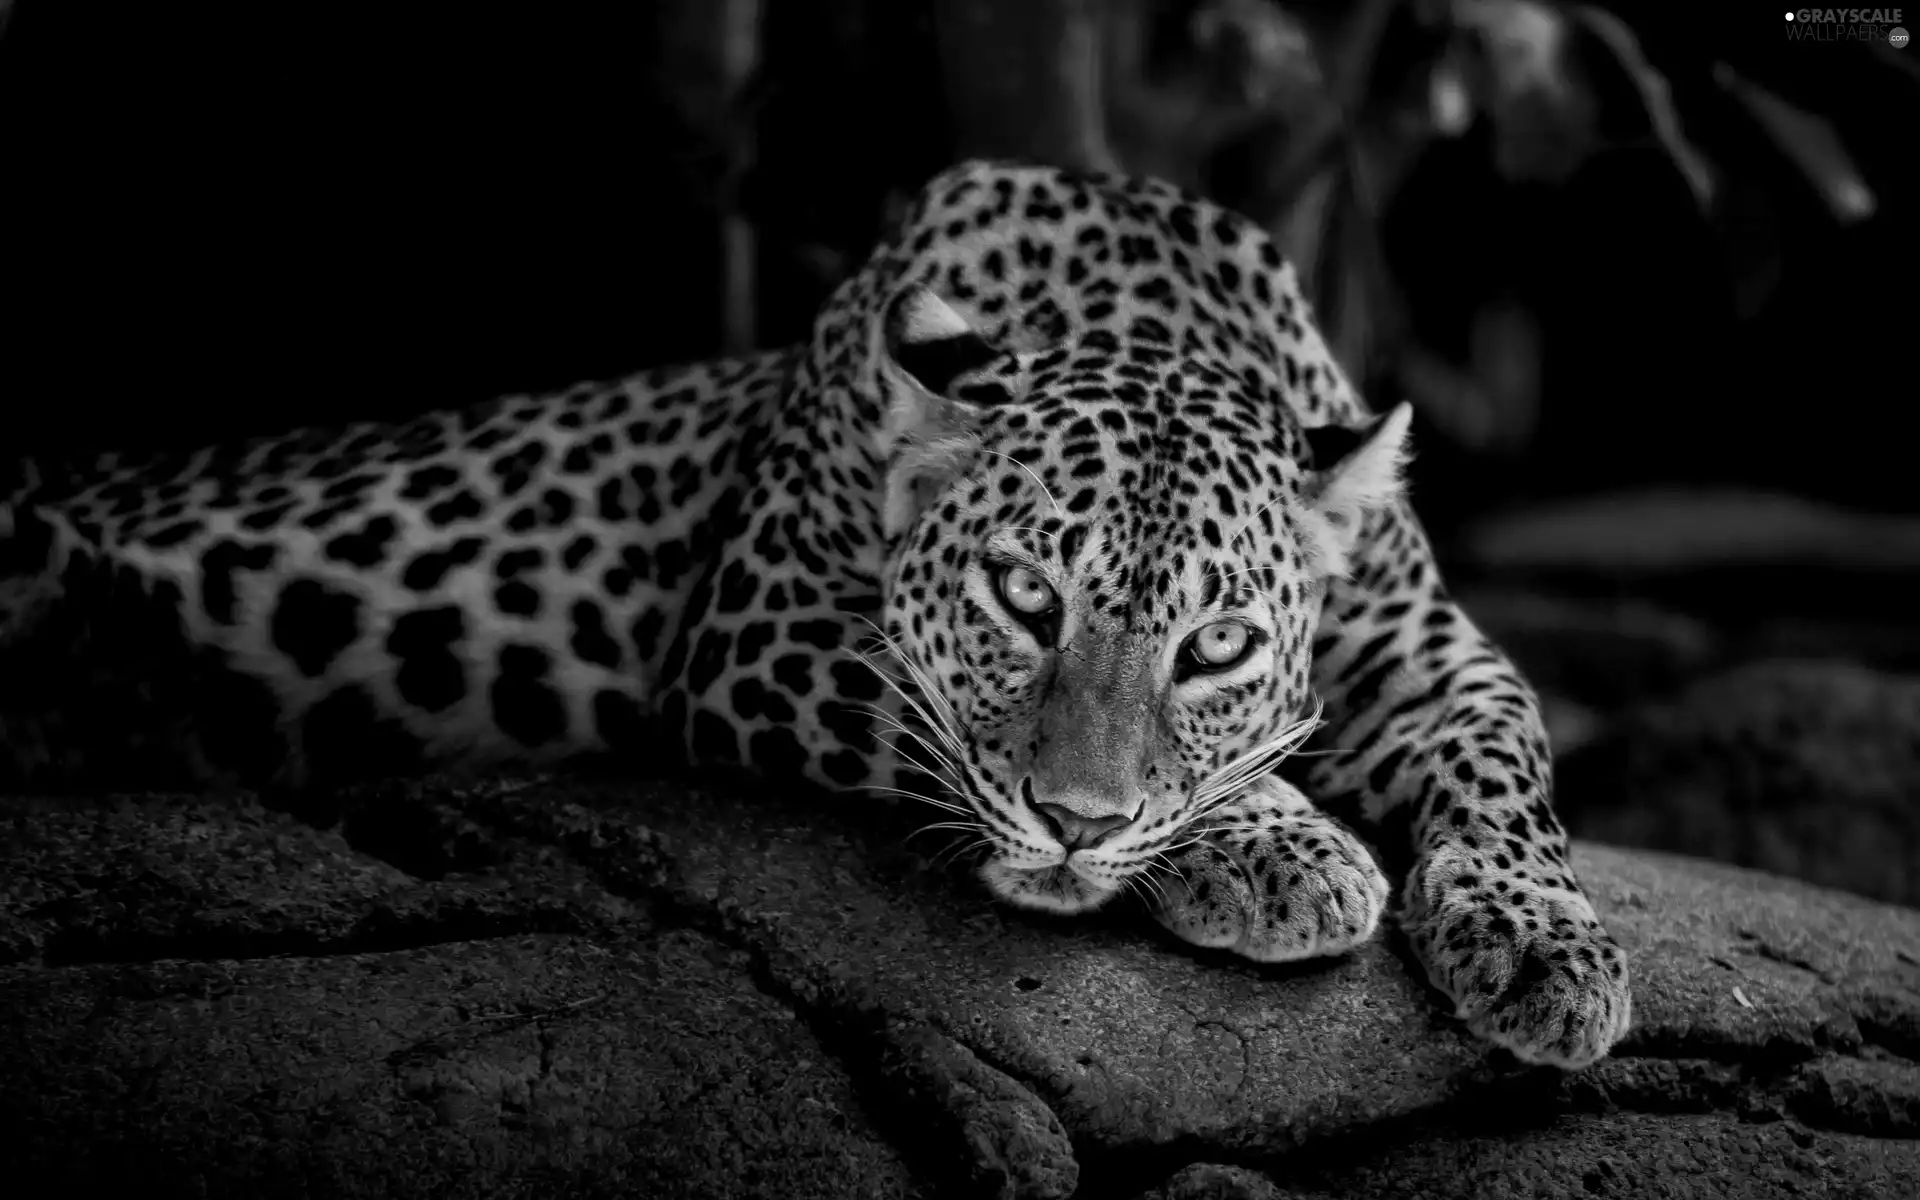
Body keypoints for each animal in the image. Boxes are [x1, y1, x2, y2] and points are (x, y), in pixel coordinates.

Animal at [0, 156, 1635, 1067]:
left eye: (1218, 645)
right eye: (1022, 597)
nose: (1079, 829)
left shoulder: (1434, 656)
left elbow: (1513, 756)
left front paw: (1544, 945)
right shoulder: (759, 632)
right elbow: (946, 728)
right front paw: (1286, 850)